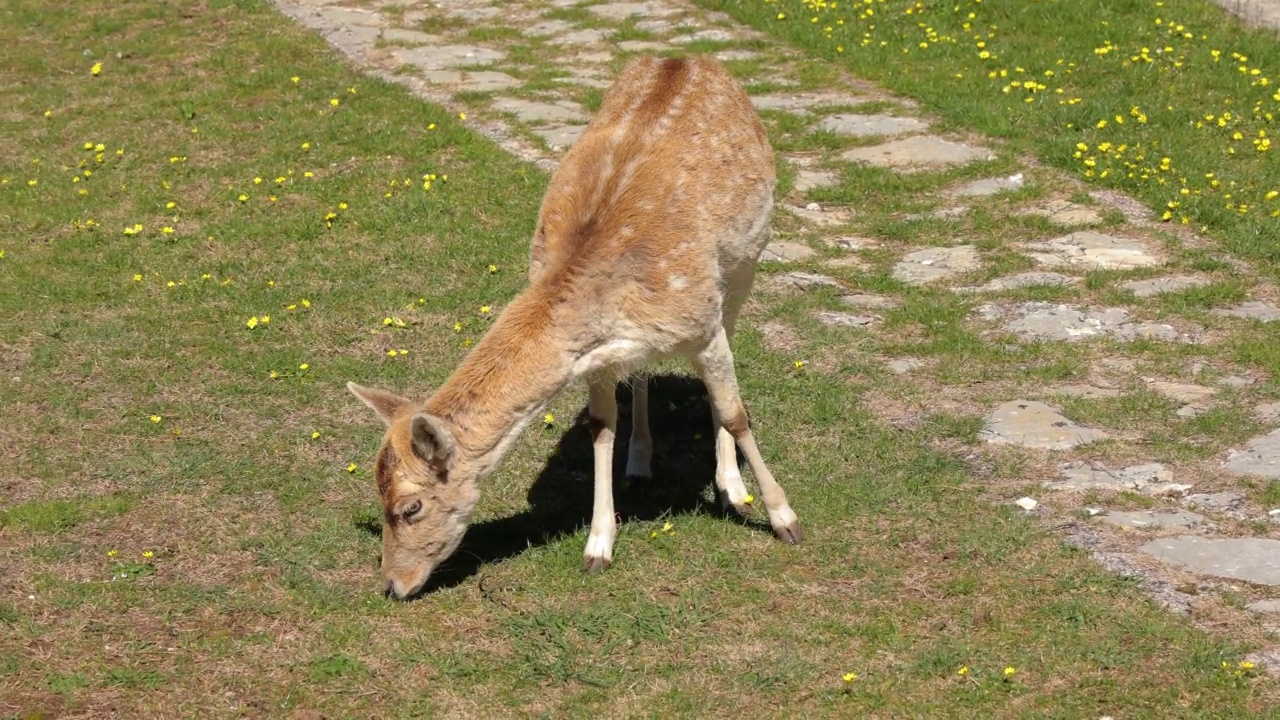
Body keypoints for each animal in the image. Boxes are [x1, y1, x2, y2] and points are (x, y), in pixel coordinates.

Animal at [353, 53, 798, 597]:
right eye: (378, 498)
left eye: (410, 507)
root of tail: (685, 57)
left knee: (728, 359)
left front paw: (782, 517)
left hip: (745, 263)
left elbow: (735, 413)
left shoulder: (702, 323)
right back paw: (640, 462)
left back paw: (731, 484)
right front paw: (598, 546)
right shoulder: (596, 358)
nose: (393, 585)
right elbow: (601, 428)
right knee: (643, 373)